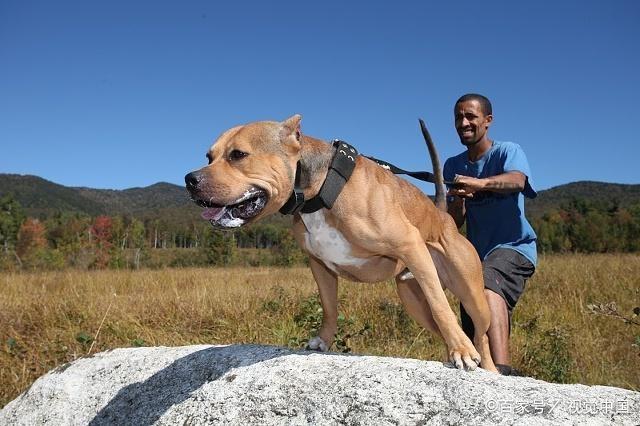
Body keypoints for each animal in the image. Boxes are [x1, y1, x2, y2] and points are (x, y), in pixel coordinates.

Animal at [182, 115, 498, 372]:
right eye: (209, 156)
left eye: (238, 155)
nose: (189, 179)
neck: (319, 191)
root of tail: (441, 216)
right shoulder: (319, 265)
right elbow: (329, 307)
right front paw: (323, 340)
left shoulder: (409, 245)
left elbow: (442, 306)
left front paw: (462, 351)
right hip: (414, 300)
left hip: (470, 293)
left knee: (479, 333)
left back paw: (481, 362)